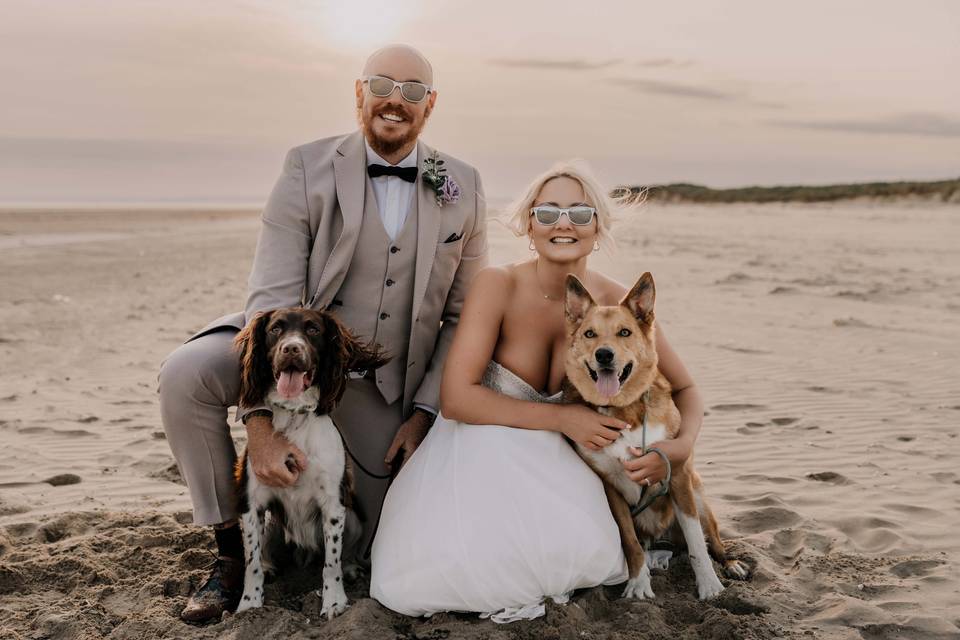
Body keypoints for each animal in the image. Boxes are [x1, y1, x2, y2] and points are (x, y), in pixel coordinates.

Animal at [564, 274, 752, 600]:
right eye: (590, 334)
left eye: (624, 332)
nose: (604, 354)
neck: (625, 410)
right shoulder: (610, 486)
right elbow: (629, 541)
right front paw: (639, 582)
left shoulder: (677, 474)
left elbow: (696, 543)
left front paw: (709, 585)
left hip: (698, 494)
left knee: (712, 540)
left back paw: (731, 564)